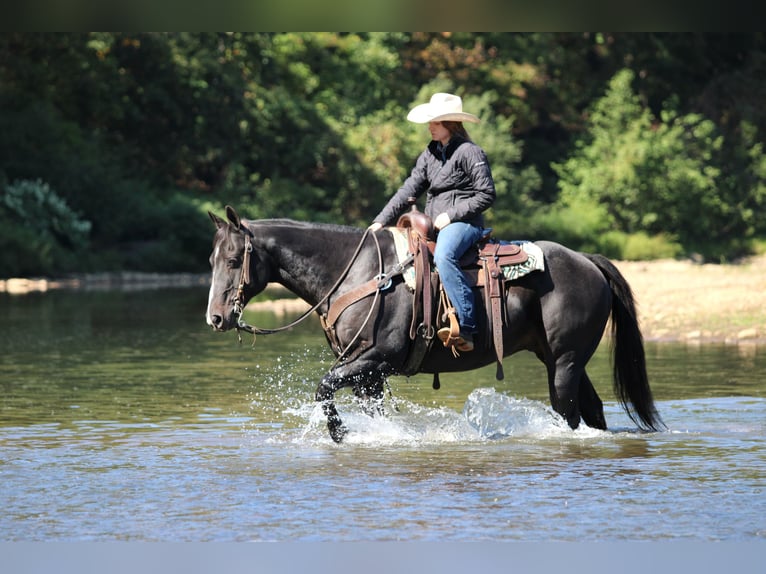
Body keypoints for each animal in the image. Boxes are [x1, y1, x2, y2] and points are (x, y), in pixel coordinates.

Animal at [206, 206, 663, 442]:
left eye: (234, 259)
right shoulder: (368, 374)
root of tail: (588, 262)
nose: (216, 317)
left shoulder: (376, 359)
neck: (360, 273)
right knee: (593, 409)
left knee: (568, 412)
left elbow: (323, 388)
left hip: (565, 362)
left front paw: (338, 434)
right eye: (211, 259)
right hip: (561, 360)